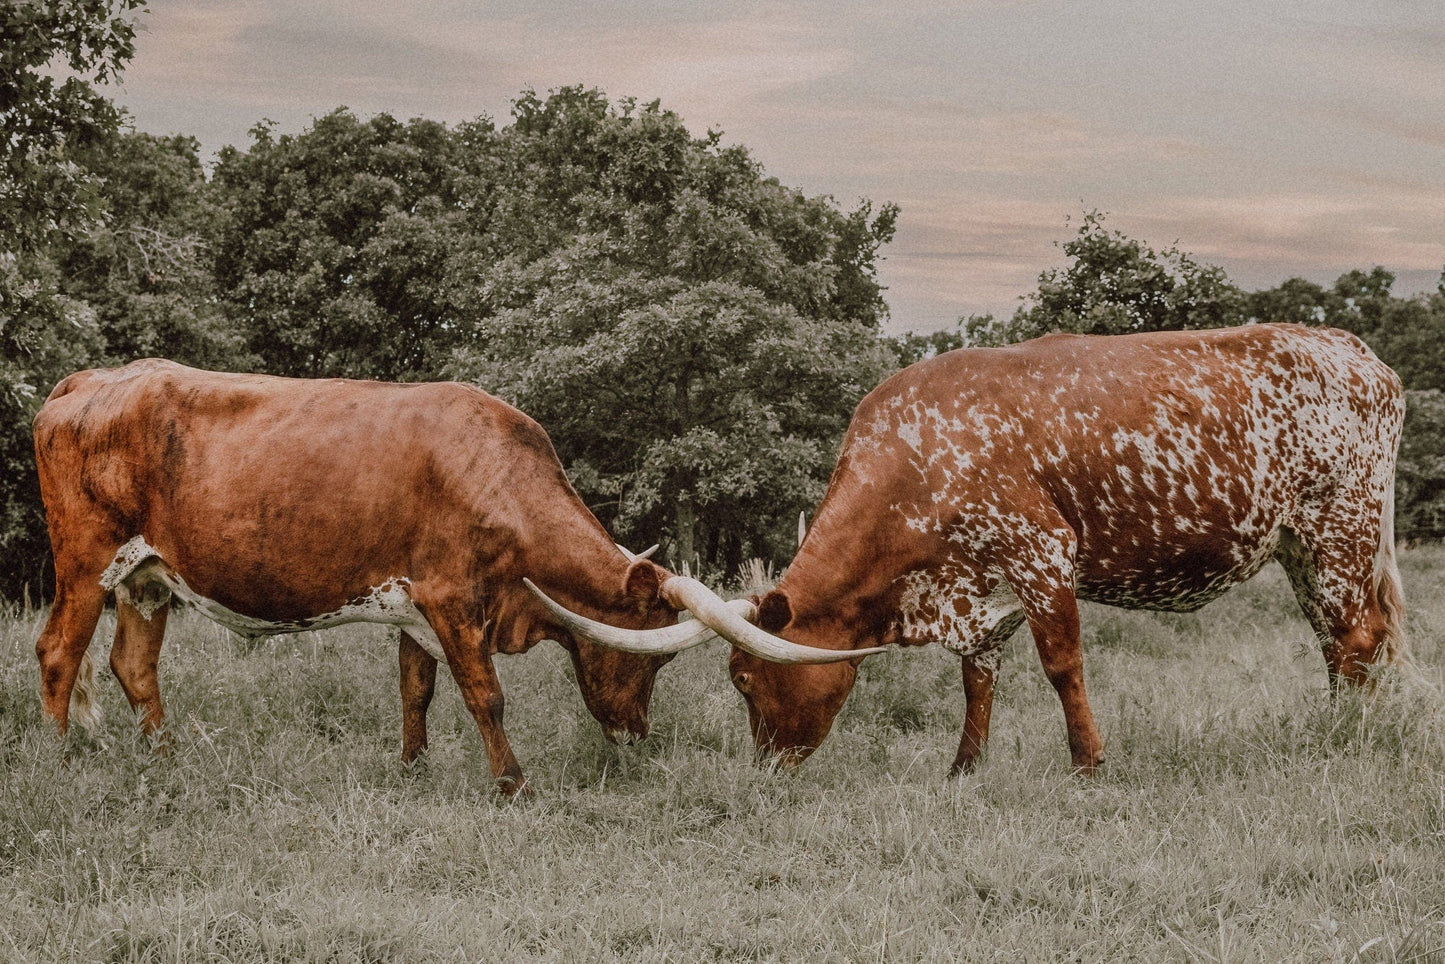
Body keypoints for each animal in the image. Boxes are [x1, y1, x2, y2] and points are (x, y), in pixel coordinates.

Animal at [28, 358, 786, 797]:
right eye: (652, 663)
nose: (636, 733)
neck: (500, 478)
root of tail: (90, 379)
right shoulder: (452, 601)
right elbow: (485, 696)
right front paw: (512, 783)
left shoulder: (414, 608)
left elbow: (415, 689)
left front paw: (412, 768)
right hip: (85, 562)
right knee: (58, 653)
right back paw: (58, 758)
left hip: (149, 578)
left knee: (133, 664)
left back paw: (163, 756)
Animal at [537, 323, 1404, 774]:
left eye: (744, 680)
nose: (766, 769)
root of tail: (1357, 353)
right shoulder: (977, 587)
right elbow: (976, 676)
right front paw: (965, 765)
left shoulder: (1041, 554)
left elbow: (1061, 666)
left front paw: (1087, 762)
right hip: (1301, 549)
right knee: (1336, 645)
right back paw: (1338, 728)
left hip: (1340, 529)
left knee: (1357, 638)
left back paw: (1348, 744)